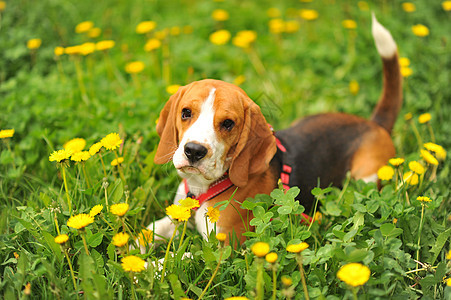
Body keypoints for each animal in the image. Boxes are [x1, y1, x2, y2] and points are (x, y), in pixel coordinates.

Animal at [145, 15, 402, 246]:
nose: (194, 151)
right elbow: (150, 231)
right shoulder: (177, 214)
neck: (203, 188)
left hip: (366, 177)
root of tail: (374, 124)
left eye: (228, 123)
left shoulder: (224, 247)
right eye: (186, 113)